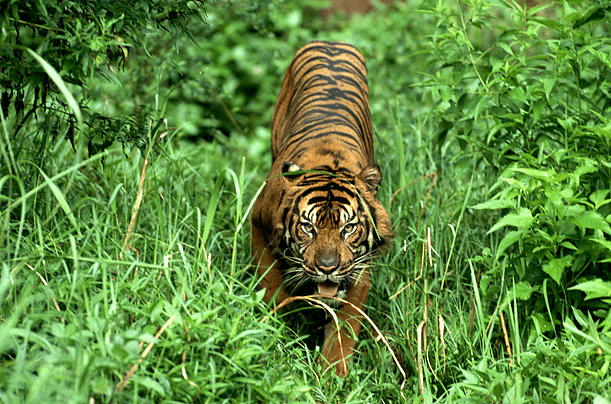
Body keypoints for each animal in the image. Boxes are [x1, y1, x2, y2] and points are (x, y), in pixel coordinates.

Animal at [252, 40, 392, 376]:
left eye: (348, 228)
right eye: (308, 227)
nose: (327, 267)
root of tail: (331, 42)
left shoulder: (358, 268)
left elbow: (345, 329)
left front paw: (331, 376)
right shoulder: (258, 224)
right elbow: (272, 287)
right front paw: (277, 330)